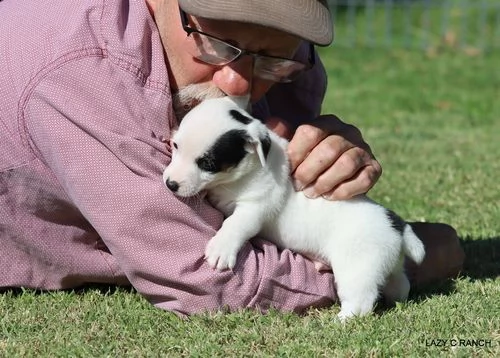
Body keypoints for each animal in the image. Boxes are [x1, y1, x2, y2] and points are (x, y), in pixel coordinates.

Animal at [162, 96, 424, 320]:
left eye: (208, 163)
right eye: (175, 146)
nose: (170, 184)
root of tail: (398, 226)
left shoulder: (255, 207)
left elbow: (235, 224)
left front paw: (221, 248)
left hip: (357, 269)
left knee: (363, 300)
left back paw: (342, 319)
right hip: (387, 265)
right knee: (400, 282)